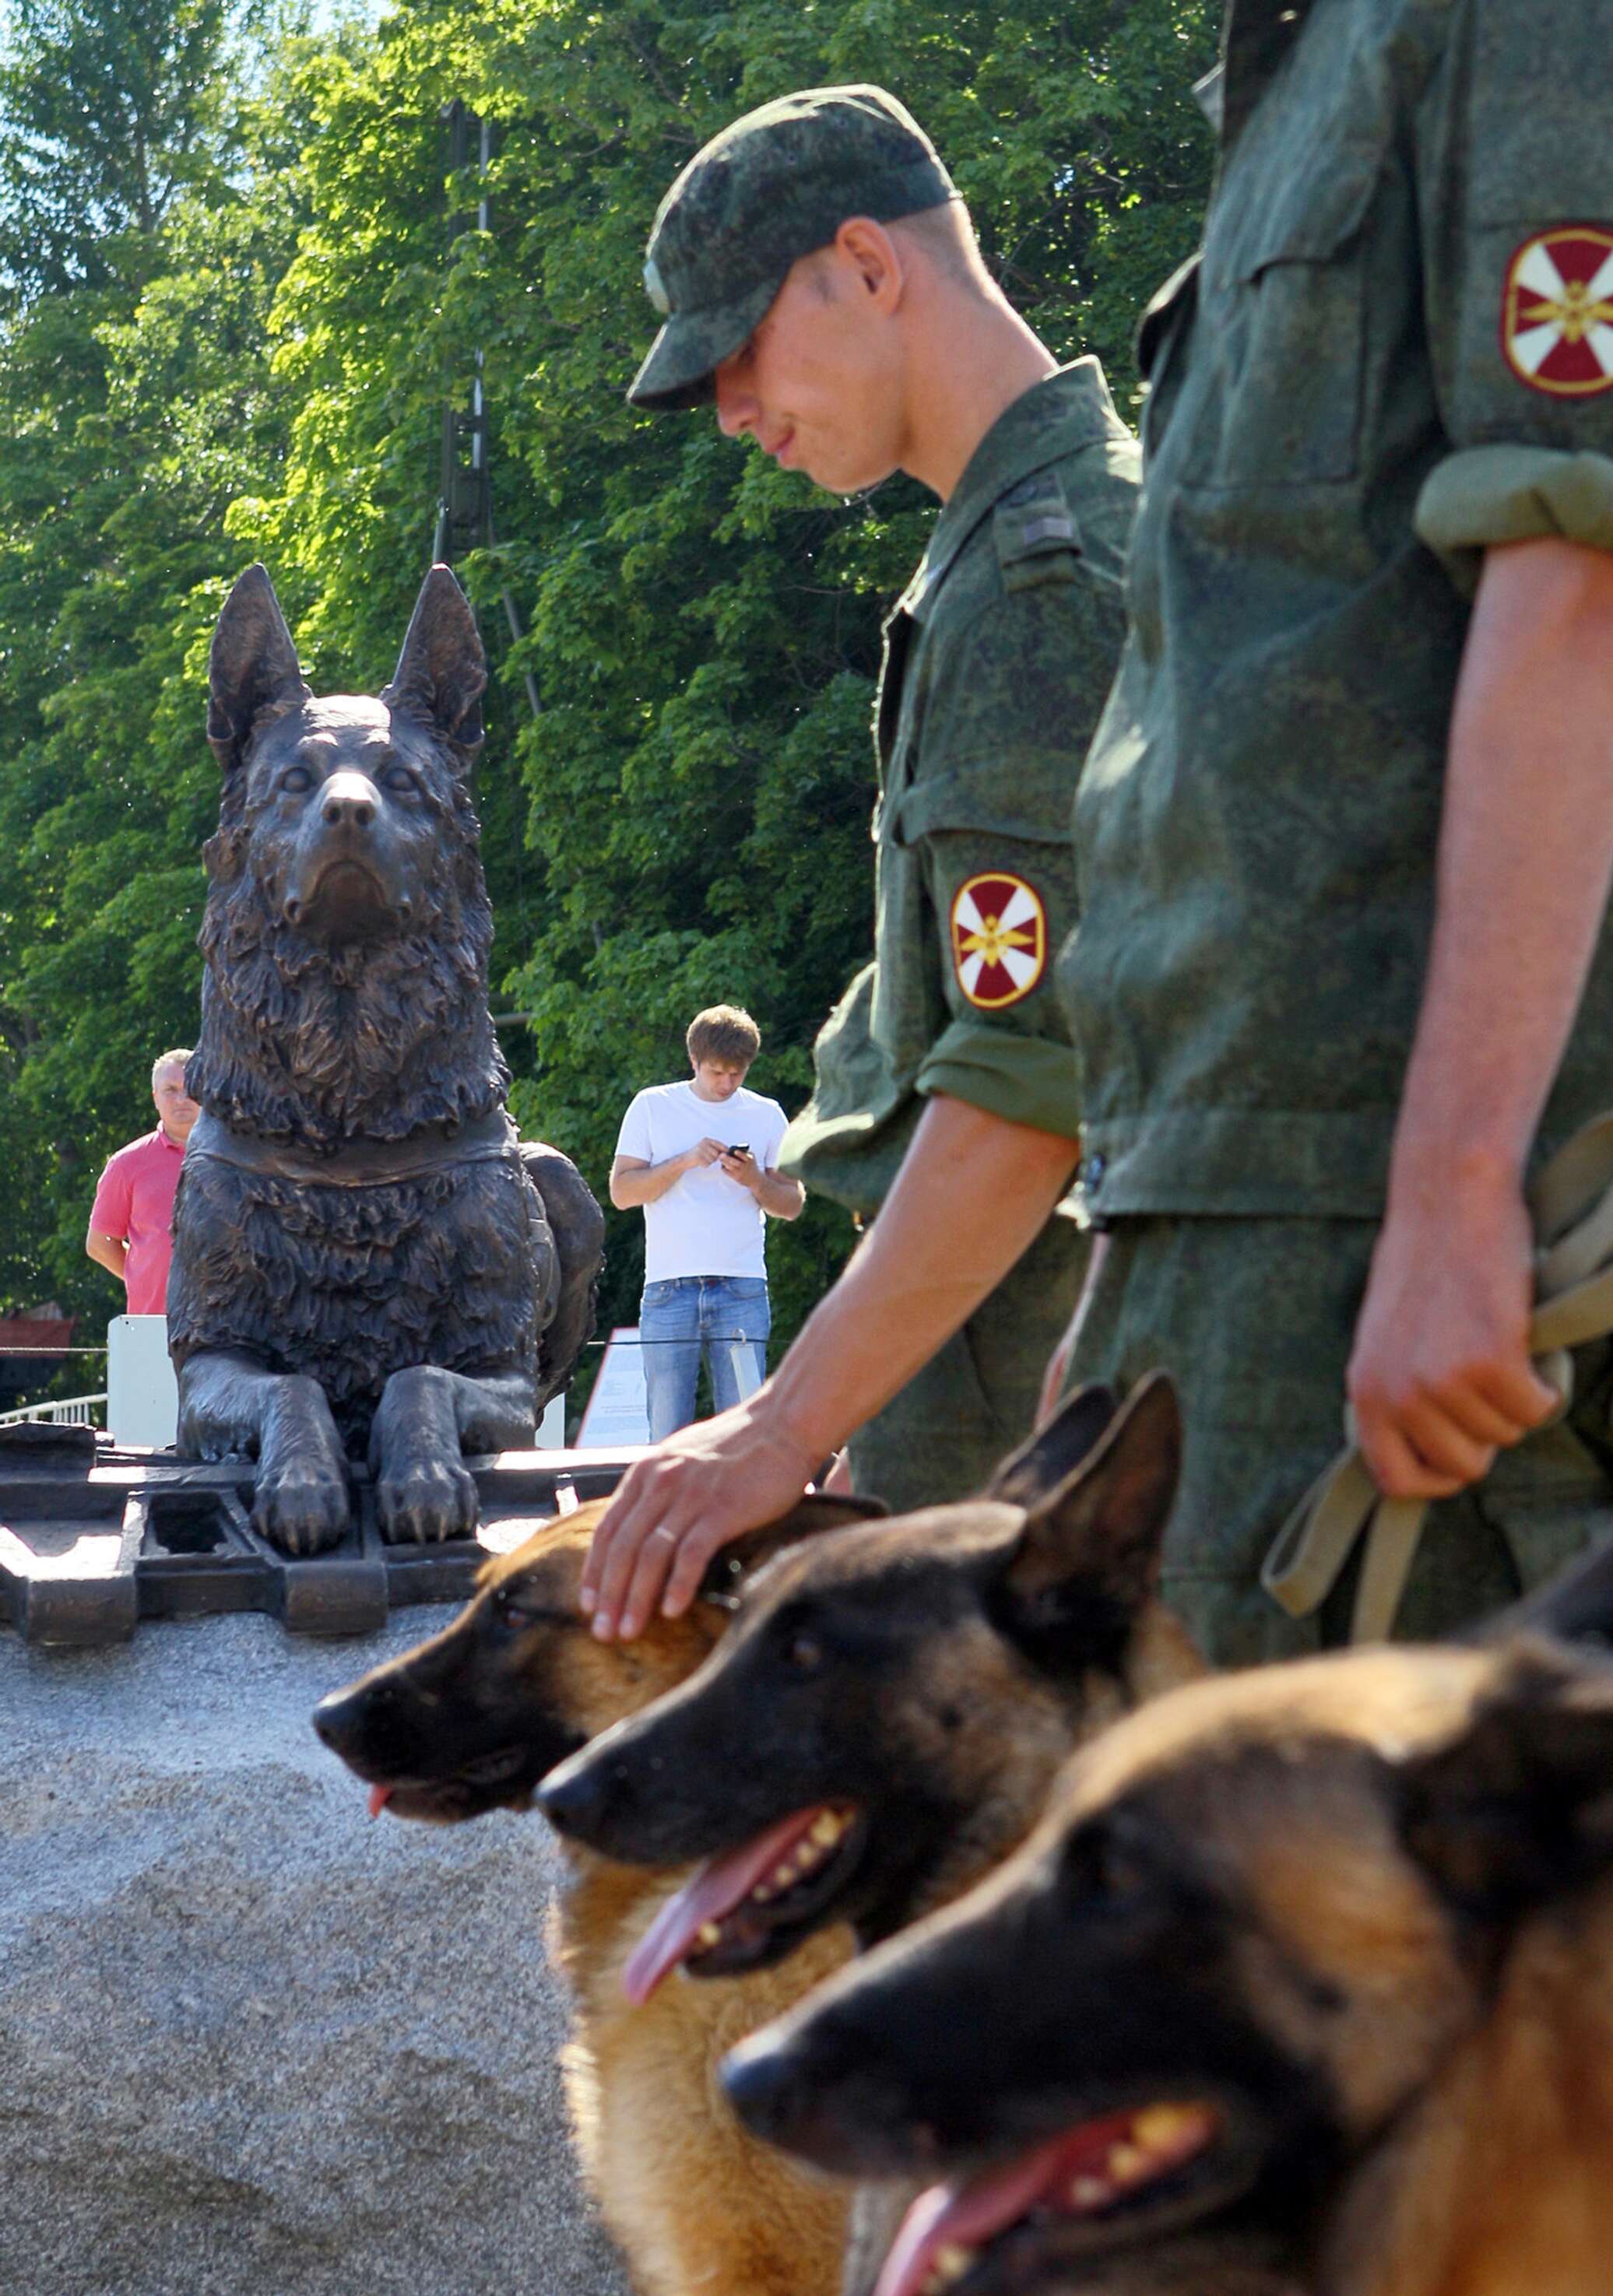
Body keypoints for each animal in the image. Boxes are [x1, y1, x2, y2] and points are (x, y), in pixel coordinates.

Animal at [167, 562, 602, 1552]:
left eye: (402, 779)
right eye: (294, 779)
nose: (348, 810)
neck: (350, 1132)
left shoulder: (499, 1368)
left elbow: (419, 1376)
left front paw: (427, 1477)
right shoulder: (209, 1356)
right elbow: (292, 1384)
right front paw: (301, 1480)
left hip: (562, 1181)